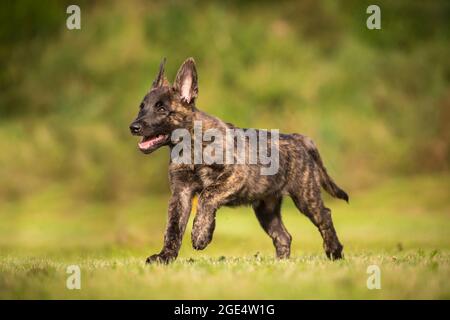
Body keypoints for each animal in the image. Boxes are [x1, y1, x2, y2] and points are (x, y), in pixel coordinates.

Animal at [130, 58, 348, 264]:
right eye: (141, 107)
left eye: (161, 109)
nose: (133, 127)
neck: (191, 145)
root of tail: (298, 138)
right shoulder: (181, 193)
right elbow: (173, 228)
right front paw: (165, 256)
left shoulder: (235, 175)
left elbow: (207, 195)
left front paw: (201, 234)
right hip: (266, 209)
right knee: (283, 236)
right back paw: (281, 264)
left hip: (305, 196)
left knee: (324, 216)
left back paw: (334, 251)